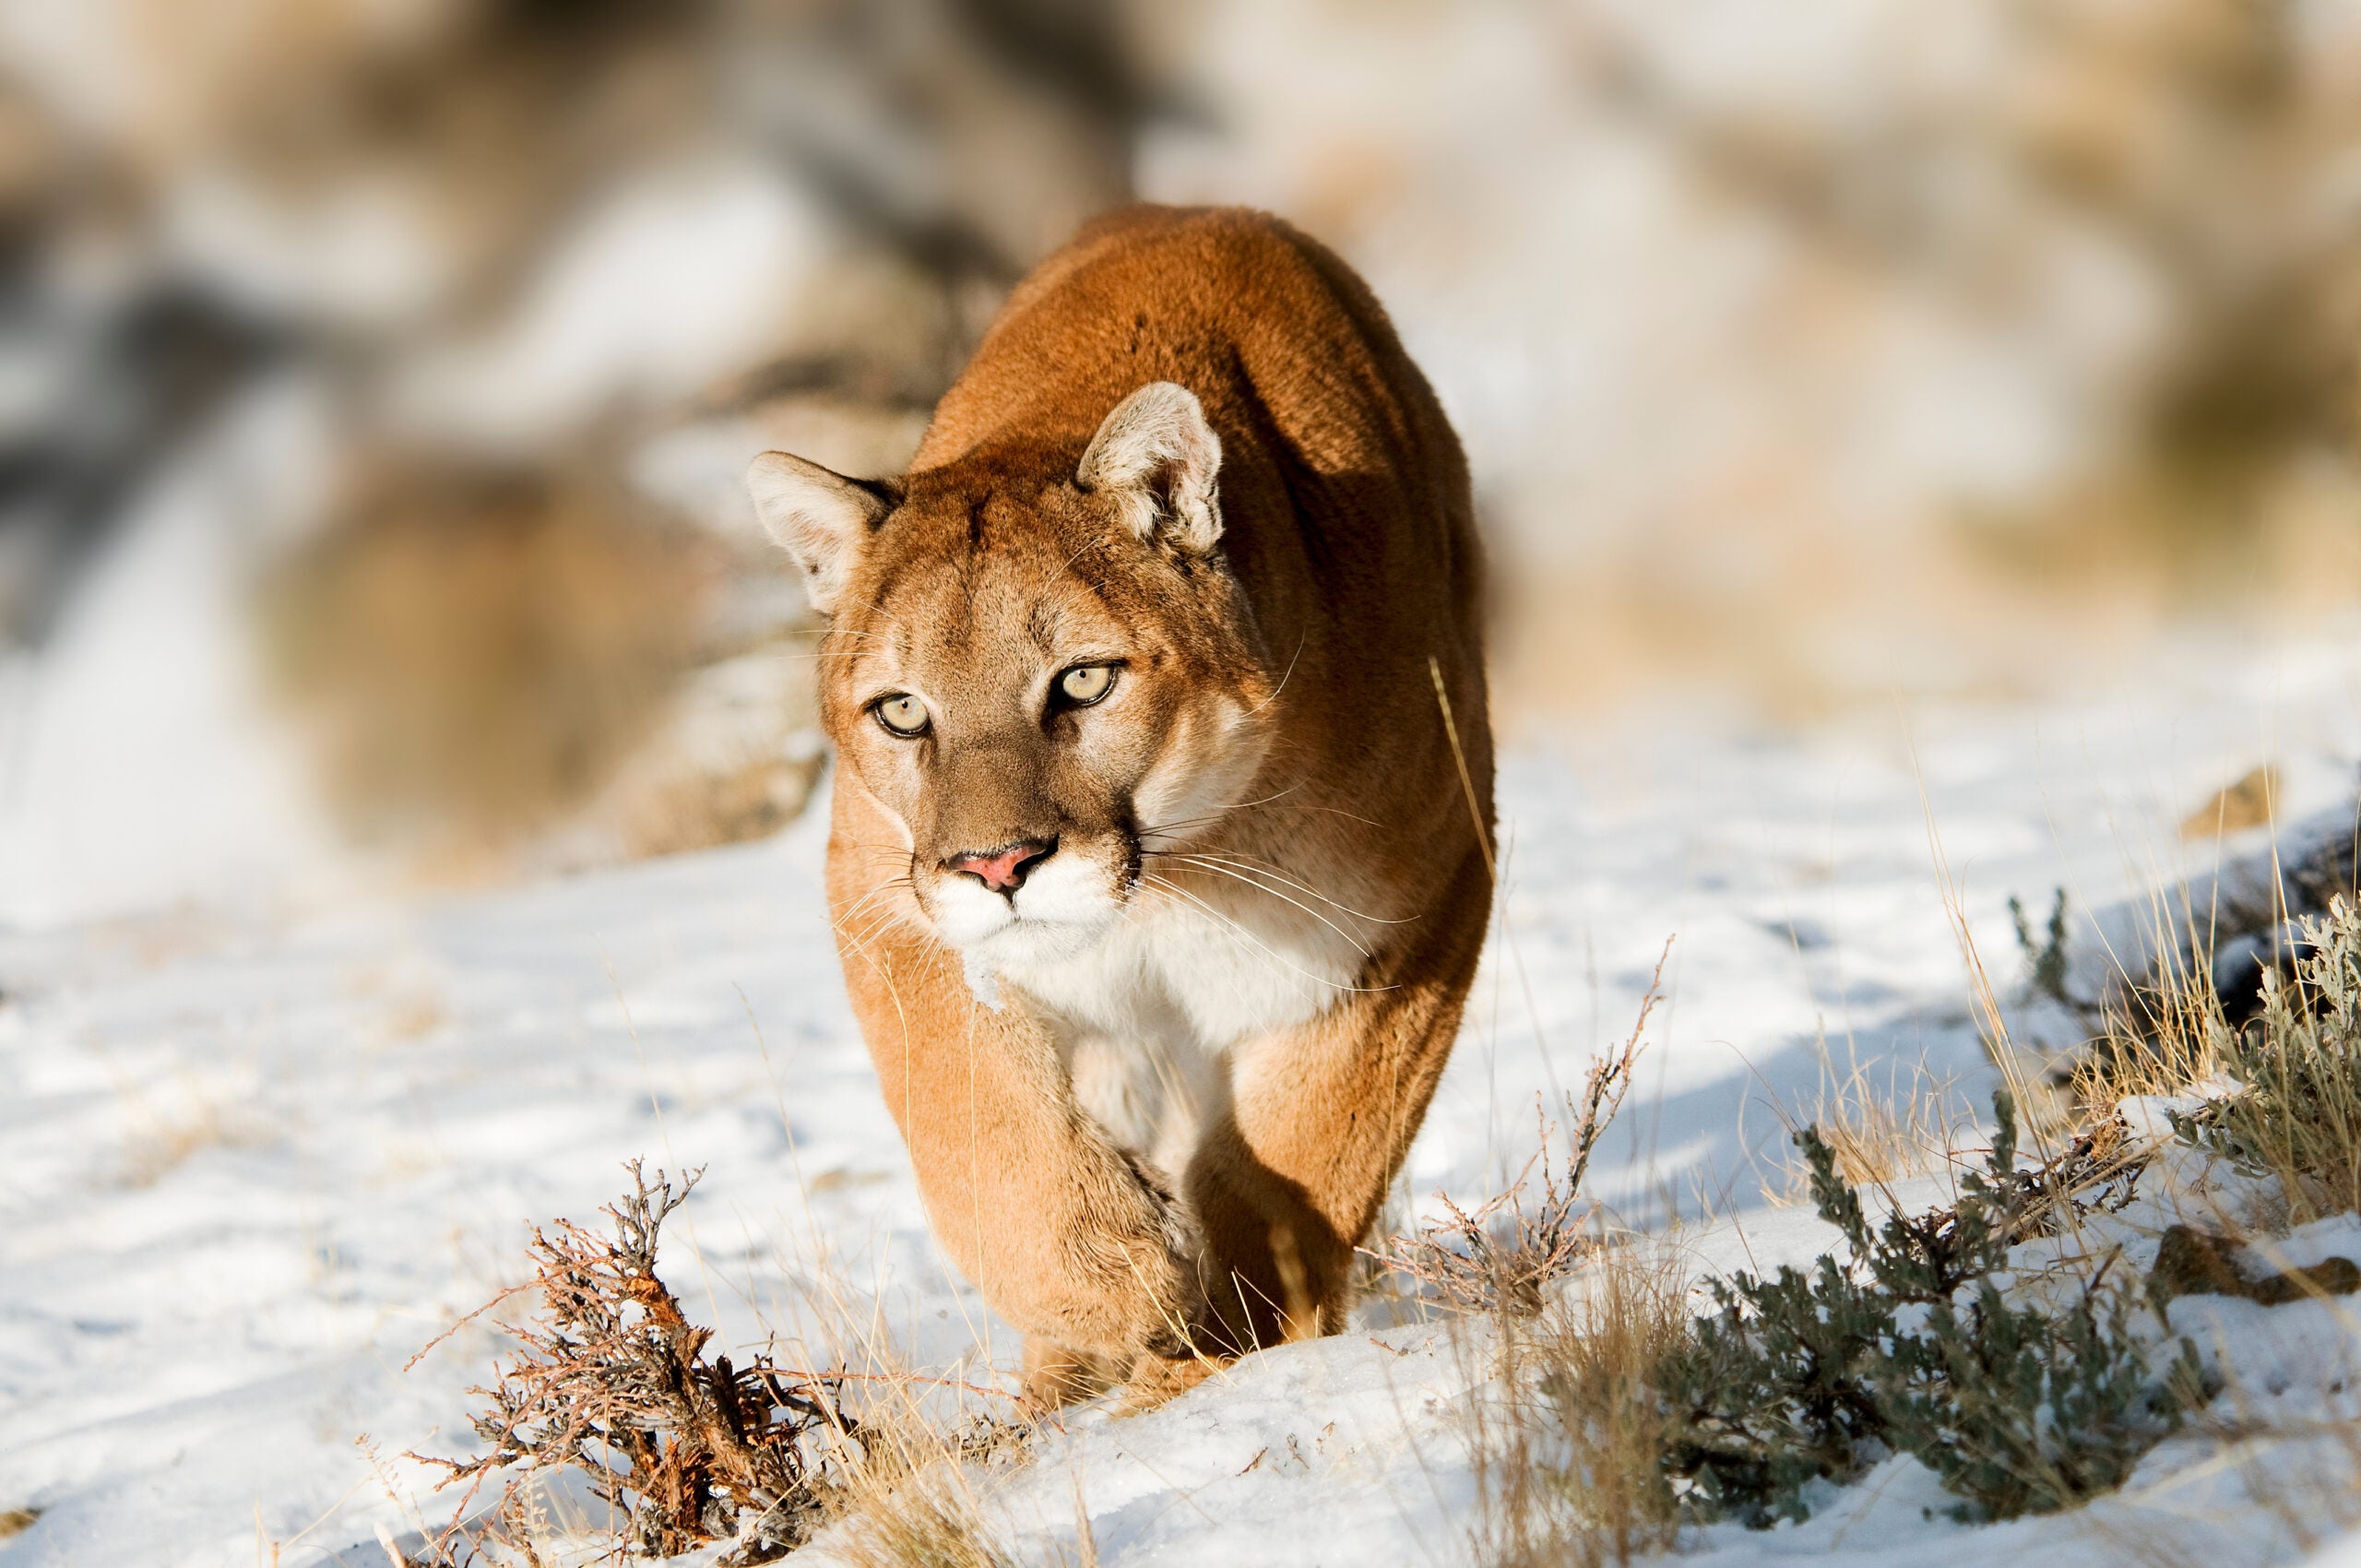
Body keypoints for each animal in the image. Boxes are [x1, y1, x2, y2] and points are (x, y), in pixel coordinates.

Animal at [745, 204, 1492, 1408]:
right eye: (902, 712)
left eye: (1084, 681)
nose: (997, 866)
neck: (1173, 880)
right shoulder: (885, 899)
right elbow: (983, 1135)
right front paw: (1118, 1290)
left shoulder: (1419, 900)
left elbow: (1311, 1141)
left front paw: (1239, 1333)